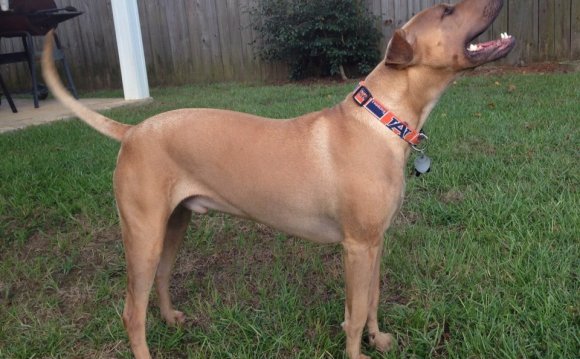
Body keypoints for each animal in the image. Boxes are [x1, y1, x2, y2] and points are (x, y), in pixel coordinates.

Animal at [40, 1, 516, 358]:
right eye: (447, 10)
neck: (382, 119)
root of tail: (133, 131)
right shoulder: (357, 247)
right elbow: (355, 312)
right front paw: (358, 349)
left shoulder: (375, 243)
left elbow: (373, 299)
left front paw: (378, 339)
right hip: (143, 235)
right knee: (131, 313)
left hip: (173, 227)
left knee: (160, 279)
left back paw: (172, 317)